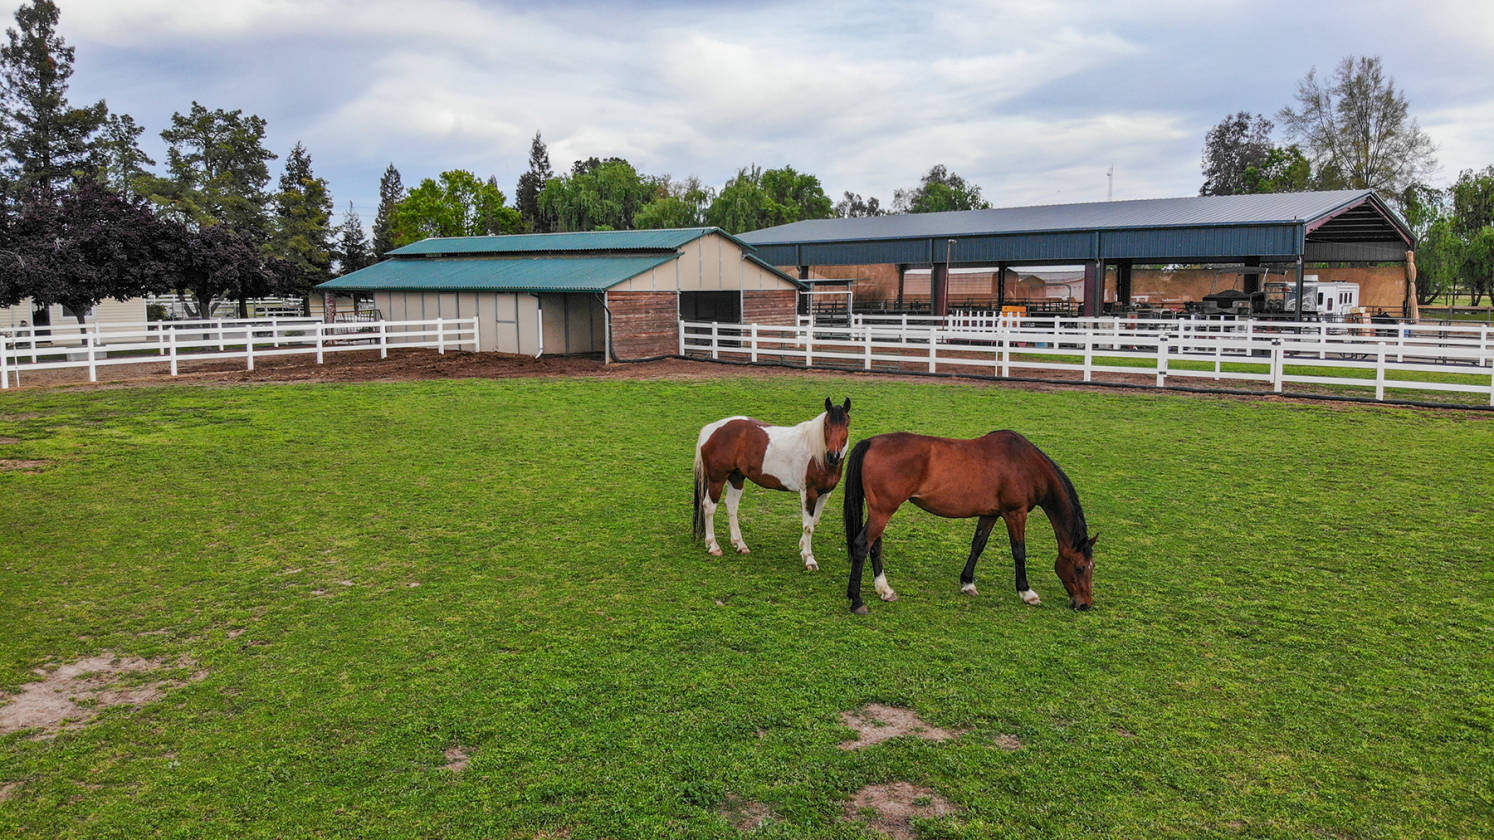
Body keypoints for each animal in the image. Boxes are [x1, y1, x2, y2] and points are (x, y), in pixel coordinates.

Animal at [693, 398, 852, 570]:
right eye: (827, 424)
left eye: (846, 424)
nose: (833, 456)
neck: (818, 454)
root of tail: (711, 429)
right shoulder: (809, 492)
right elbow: (808, 526)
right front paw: (809, 559)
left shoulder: (825, 493)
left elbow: (814, 523)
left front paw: (803, 547)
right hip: (717, 479)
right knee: (709, 506)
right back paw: (713, 546)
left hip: (736, 478)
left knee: (732, 506)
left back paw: (740, 544)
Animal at [841, 430, 1097, 614]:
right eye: (1080, 567)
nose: (1085, 604)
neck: (1024, 464)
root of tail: (871, 442)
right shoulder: (1015, 513)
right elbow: (1019, 552)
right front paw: (1026, 592)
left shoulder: (990, 514)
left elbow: (978, 545)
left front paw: (967, 583)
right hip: (883, 511)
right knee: (862, 545)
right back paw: (857, 601)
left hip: (879, 512)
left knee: (875, 546)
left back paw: (884, 590)